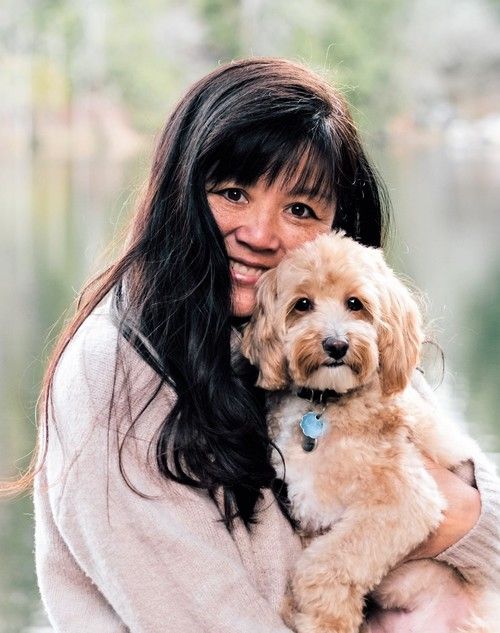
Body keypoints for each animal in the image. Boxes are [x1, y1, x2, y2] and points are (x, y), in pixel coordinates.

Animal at [241, 232, 497, 633]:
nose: (336, 344)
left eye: (355, 304)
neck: (327, 405)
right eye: (302, 304)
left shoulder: (405, 501)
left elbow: (323, 564)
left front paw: (322, 620)